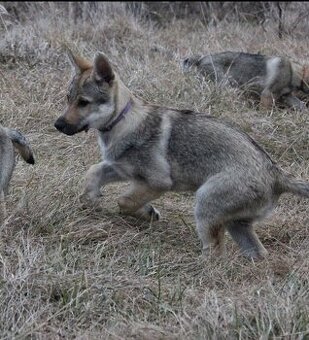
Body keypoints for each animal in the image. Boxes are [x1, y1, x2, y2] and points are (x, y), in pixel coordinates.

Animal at [54, 49, 306, 258]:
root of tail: (277, 175)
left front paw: (145, 212)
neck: (123, 122)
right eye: (68, 98)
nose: (58, 125)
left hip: (205, 205)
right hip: (236, 225)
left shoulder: (158, 182)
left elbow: (124, 200)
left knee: (215, 253)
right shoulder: (121, 168)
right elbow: (93, 173)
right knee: (257, 253)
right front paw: (93, 199)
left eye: (84, 102)